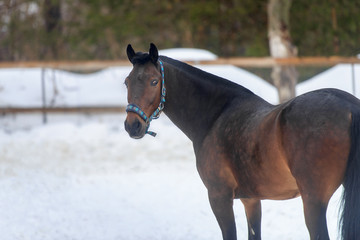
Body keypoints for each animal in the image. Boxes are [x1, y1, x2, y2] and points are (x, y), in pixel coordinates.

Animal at [124, 43, 360, 240]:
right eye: (126, 82)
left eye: (154, 81)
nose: (132, 126)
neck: (216, 115)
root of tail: (350, 107)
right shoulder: (251, 200)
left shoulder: (219, 197)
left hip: (313, 201)